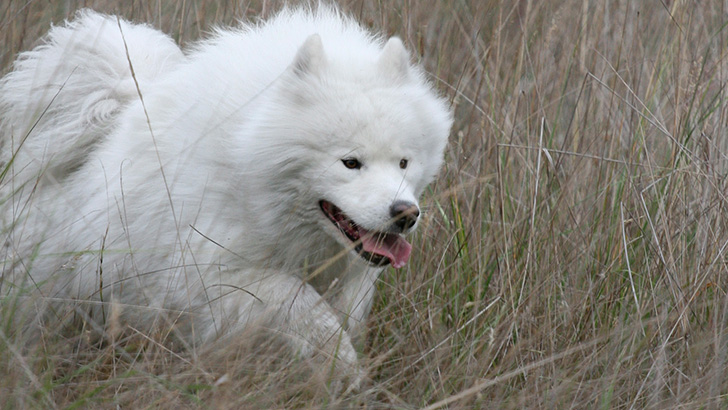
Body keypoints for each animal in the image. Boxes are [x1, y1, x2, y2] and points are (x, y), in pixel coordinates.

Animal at [0, 5, 452, 384]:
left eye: (403, 162)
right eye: (351, 162)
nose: (405, 213)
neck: (246, 161)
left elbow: (340, 315)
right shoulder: (211, 275)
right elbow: (303, 306)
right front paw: (345, 370)